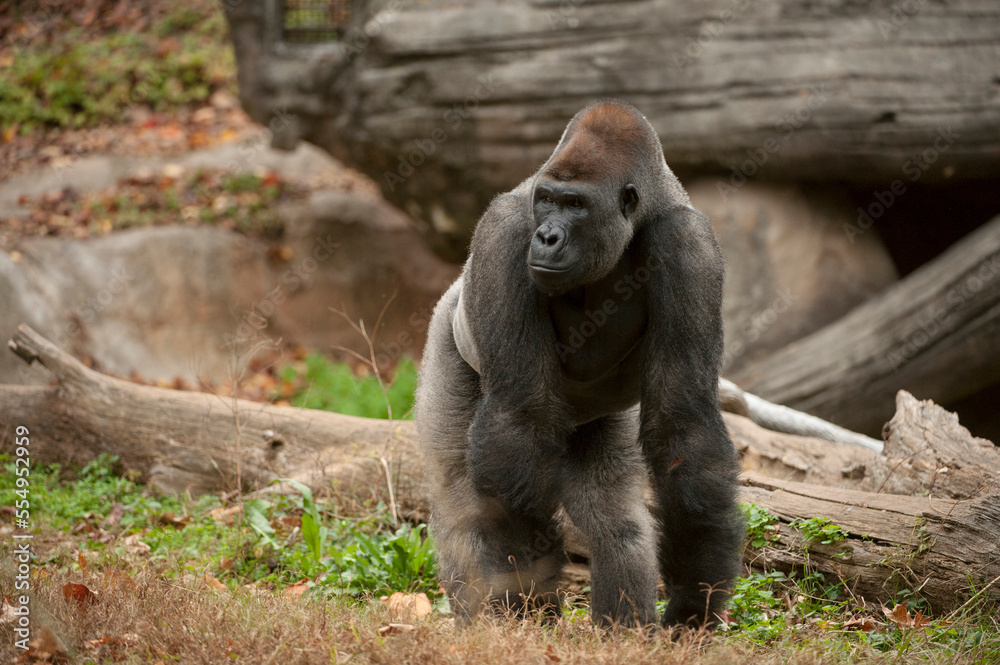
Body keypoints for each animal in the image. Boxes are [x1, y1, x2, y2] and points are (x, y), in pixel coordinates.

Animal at [414, 98, 744, 628]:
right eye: (547, 200)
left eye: (576, 205)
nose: (547, 237)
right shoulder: (505, 231)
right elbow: (517, 423)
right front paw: (529, 605)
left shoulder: (690, 245)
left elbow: (684, 430)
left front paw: (695, 604)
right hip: (447, 332)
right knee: (461, 503)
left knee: (616, 520)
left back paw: (624, 629)